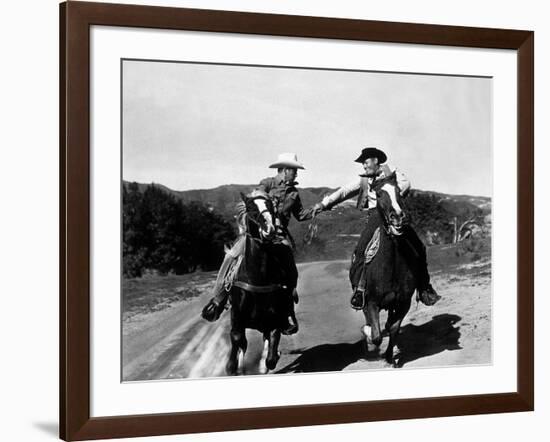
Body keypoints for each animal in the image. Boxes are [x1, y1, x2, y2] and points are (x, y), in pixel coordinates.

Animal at [225, 192, 296, 374]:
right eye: (251, 208)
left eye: (271, 207)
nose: (270, 229)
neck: (257, 279)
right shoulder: (237, 318)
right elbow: (238, 340)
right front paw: (233, 367)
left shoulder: (275, 321)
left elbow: (270, 356)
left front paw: (269, 360)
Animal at [354, 174, 418, 366]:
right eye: (379, 194)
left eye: (399, 191)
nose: (398, 216)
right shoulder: (371, 303)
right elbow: (375, 335)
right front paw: (368, 334)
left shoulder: (403, 302)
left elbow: (394, 328)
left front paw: (390, 357)